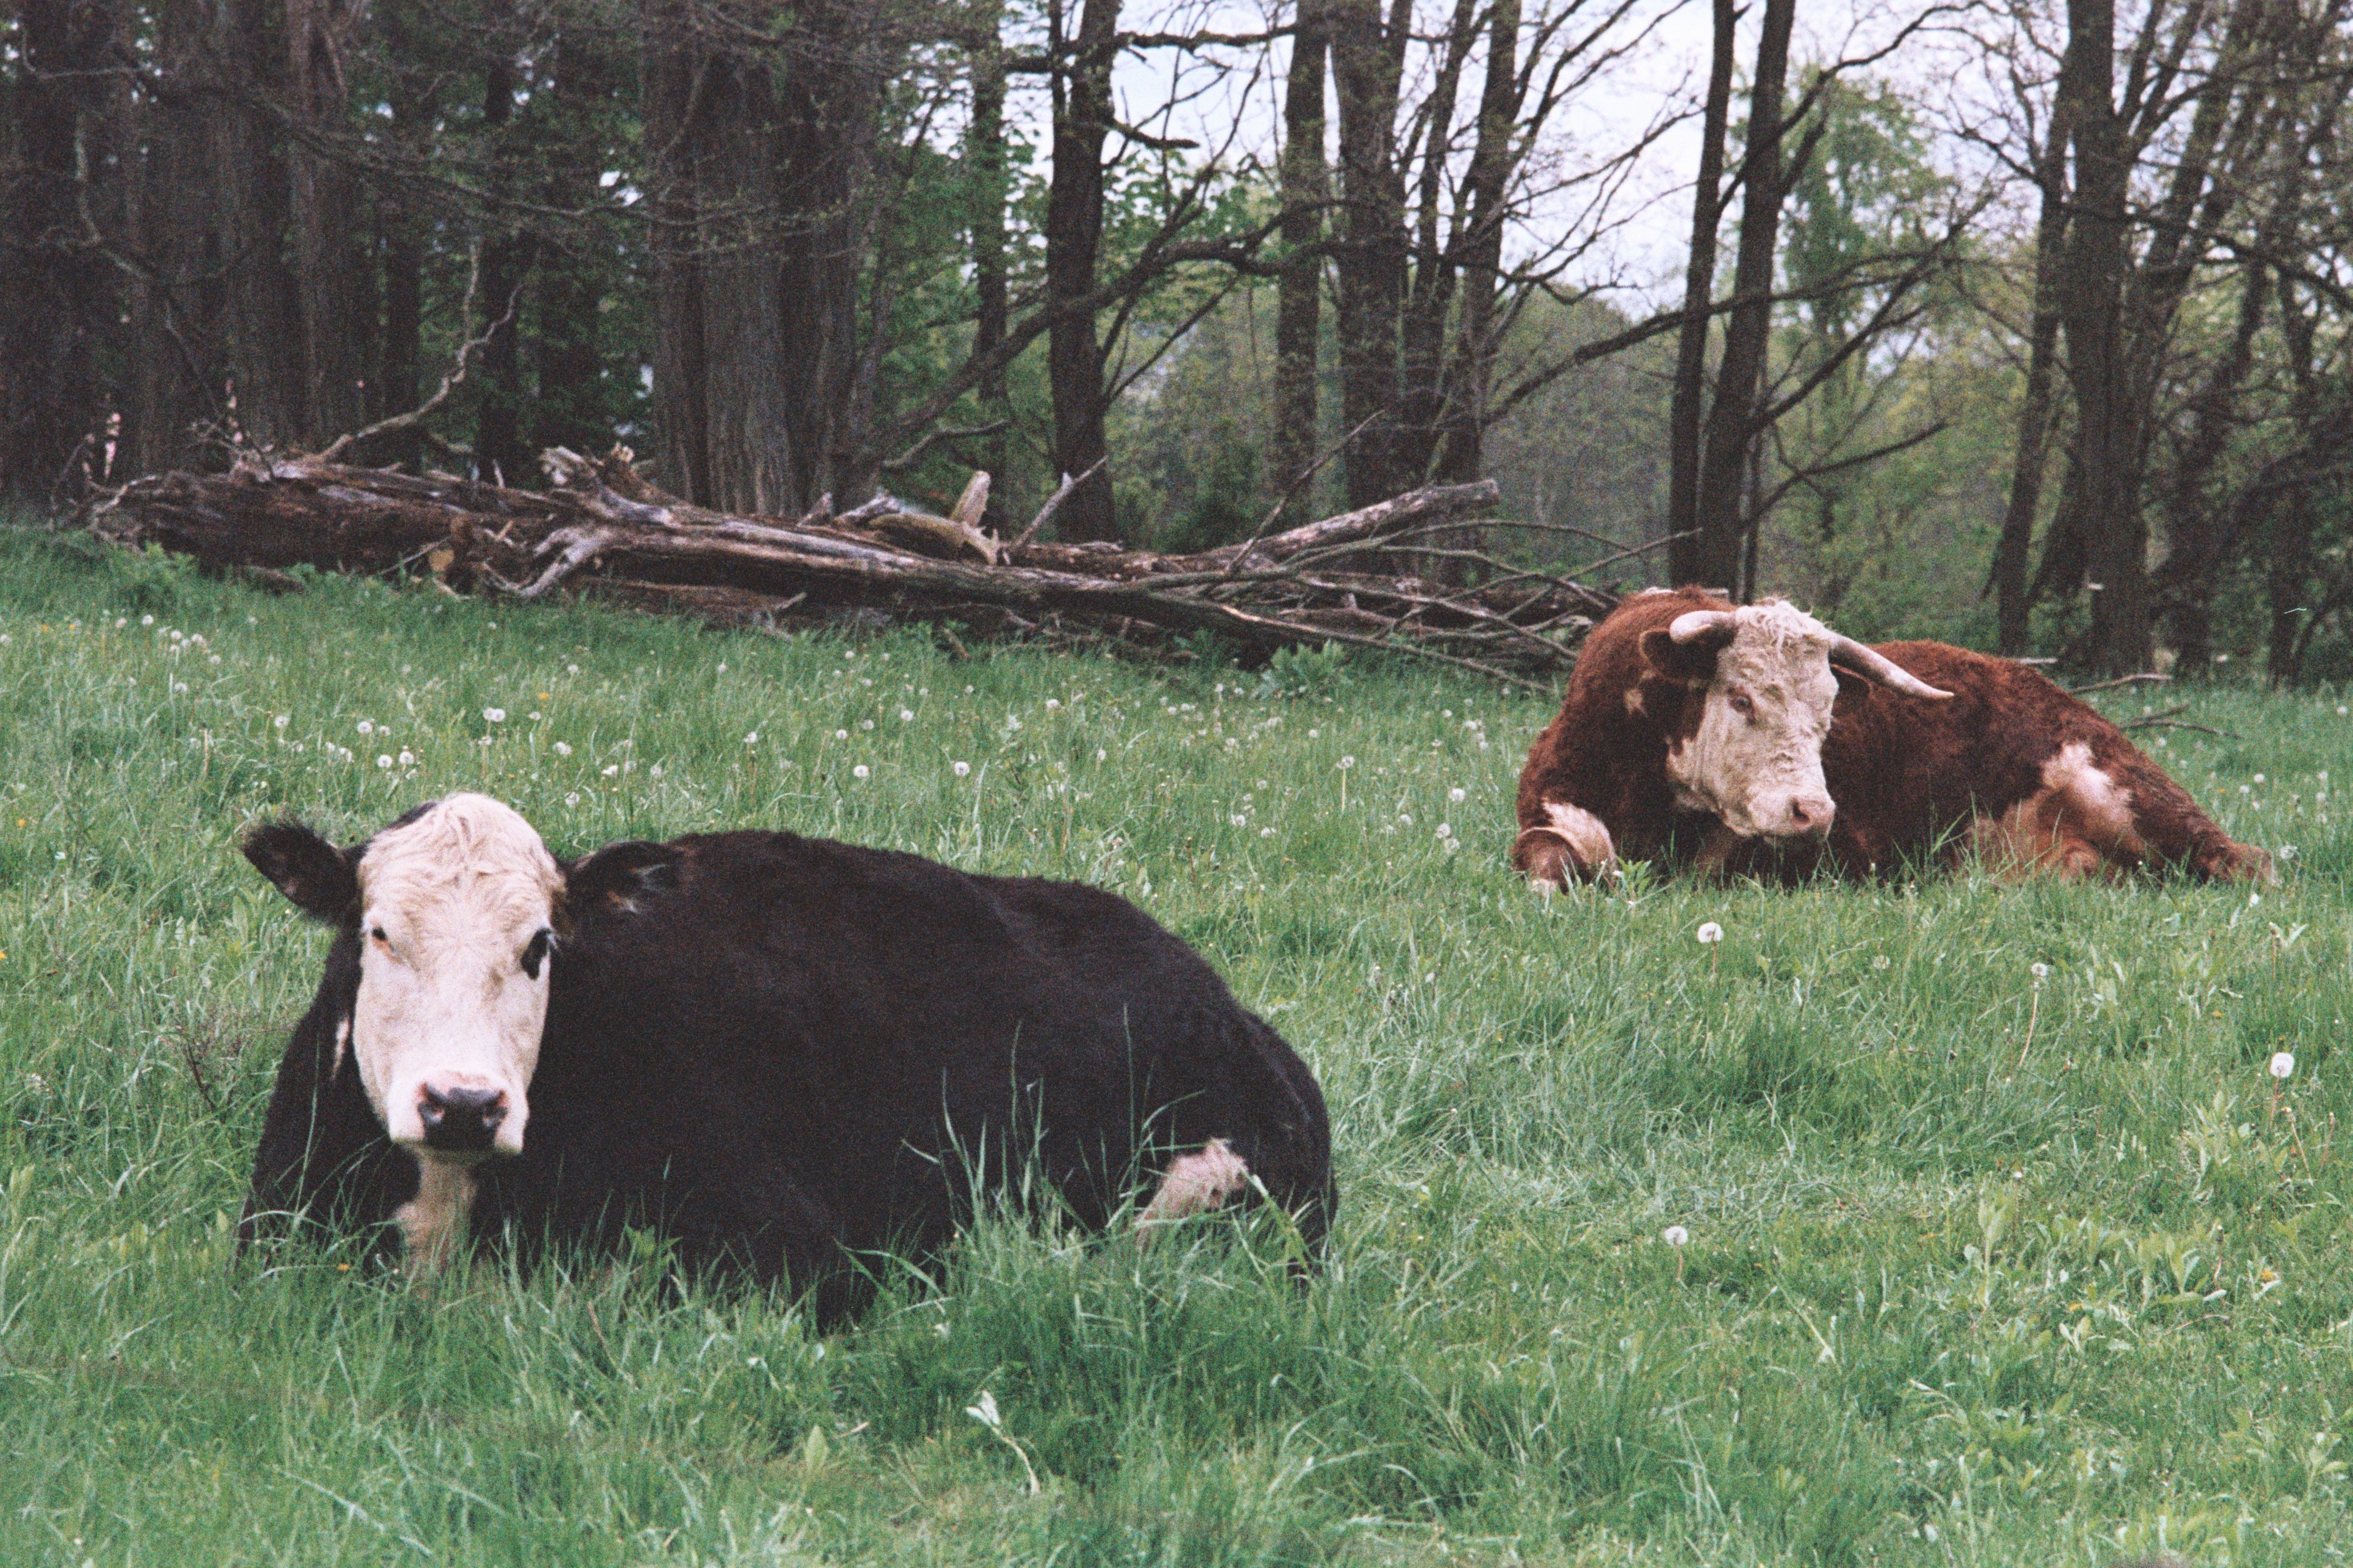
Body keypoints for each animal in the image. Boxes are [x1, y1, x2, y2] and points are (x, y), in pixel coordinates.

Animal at [1513, 588, 2271, 888]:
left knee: (2244, 861)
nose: (1813, 811)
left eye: (1827, 715)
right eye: (1741, 697)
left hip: (2123, 792)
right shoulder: (1547, 815)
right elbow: (1551, 863)